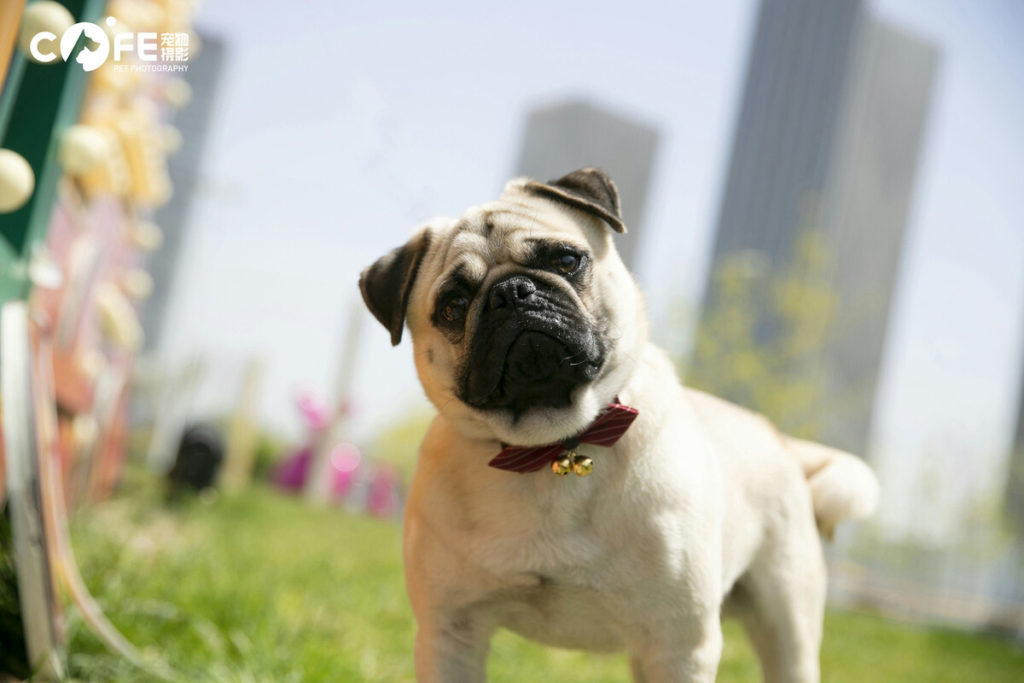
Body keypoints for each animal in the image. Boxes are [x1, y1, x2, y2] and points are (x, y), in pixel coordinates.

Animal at [356, 166, 876, 683]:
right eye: (454, 305)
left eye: (566, 260)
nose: (512, 292)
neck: (554, 448)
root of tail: (777, 436)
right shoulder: (450, 633)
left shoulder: (679, 644)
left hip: (786, 626)